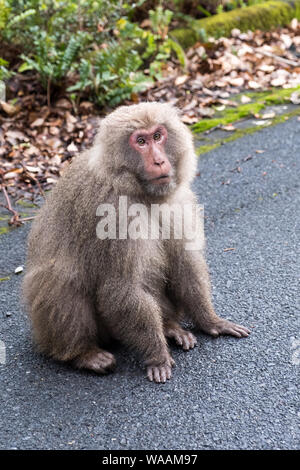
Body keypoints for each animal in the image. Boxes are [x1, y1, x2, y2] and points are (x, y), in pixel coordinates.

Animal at [22, 103, 250, 382]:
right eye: (140, 142)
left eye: (157, 136)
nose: (159, 160)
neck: (137, 190)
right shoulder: (115, 213)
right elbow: (121, 286)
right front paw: (157, 356)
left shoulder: (177, 200)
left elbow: (184, 261)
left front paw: (210, 321)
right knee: (62, 278)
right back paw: (83, 353)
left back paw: (170, 327)